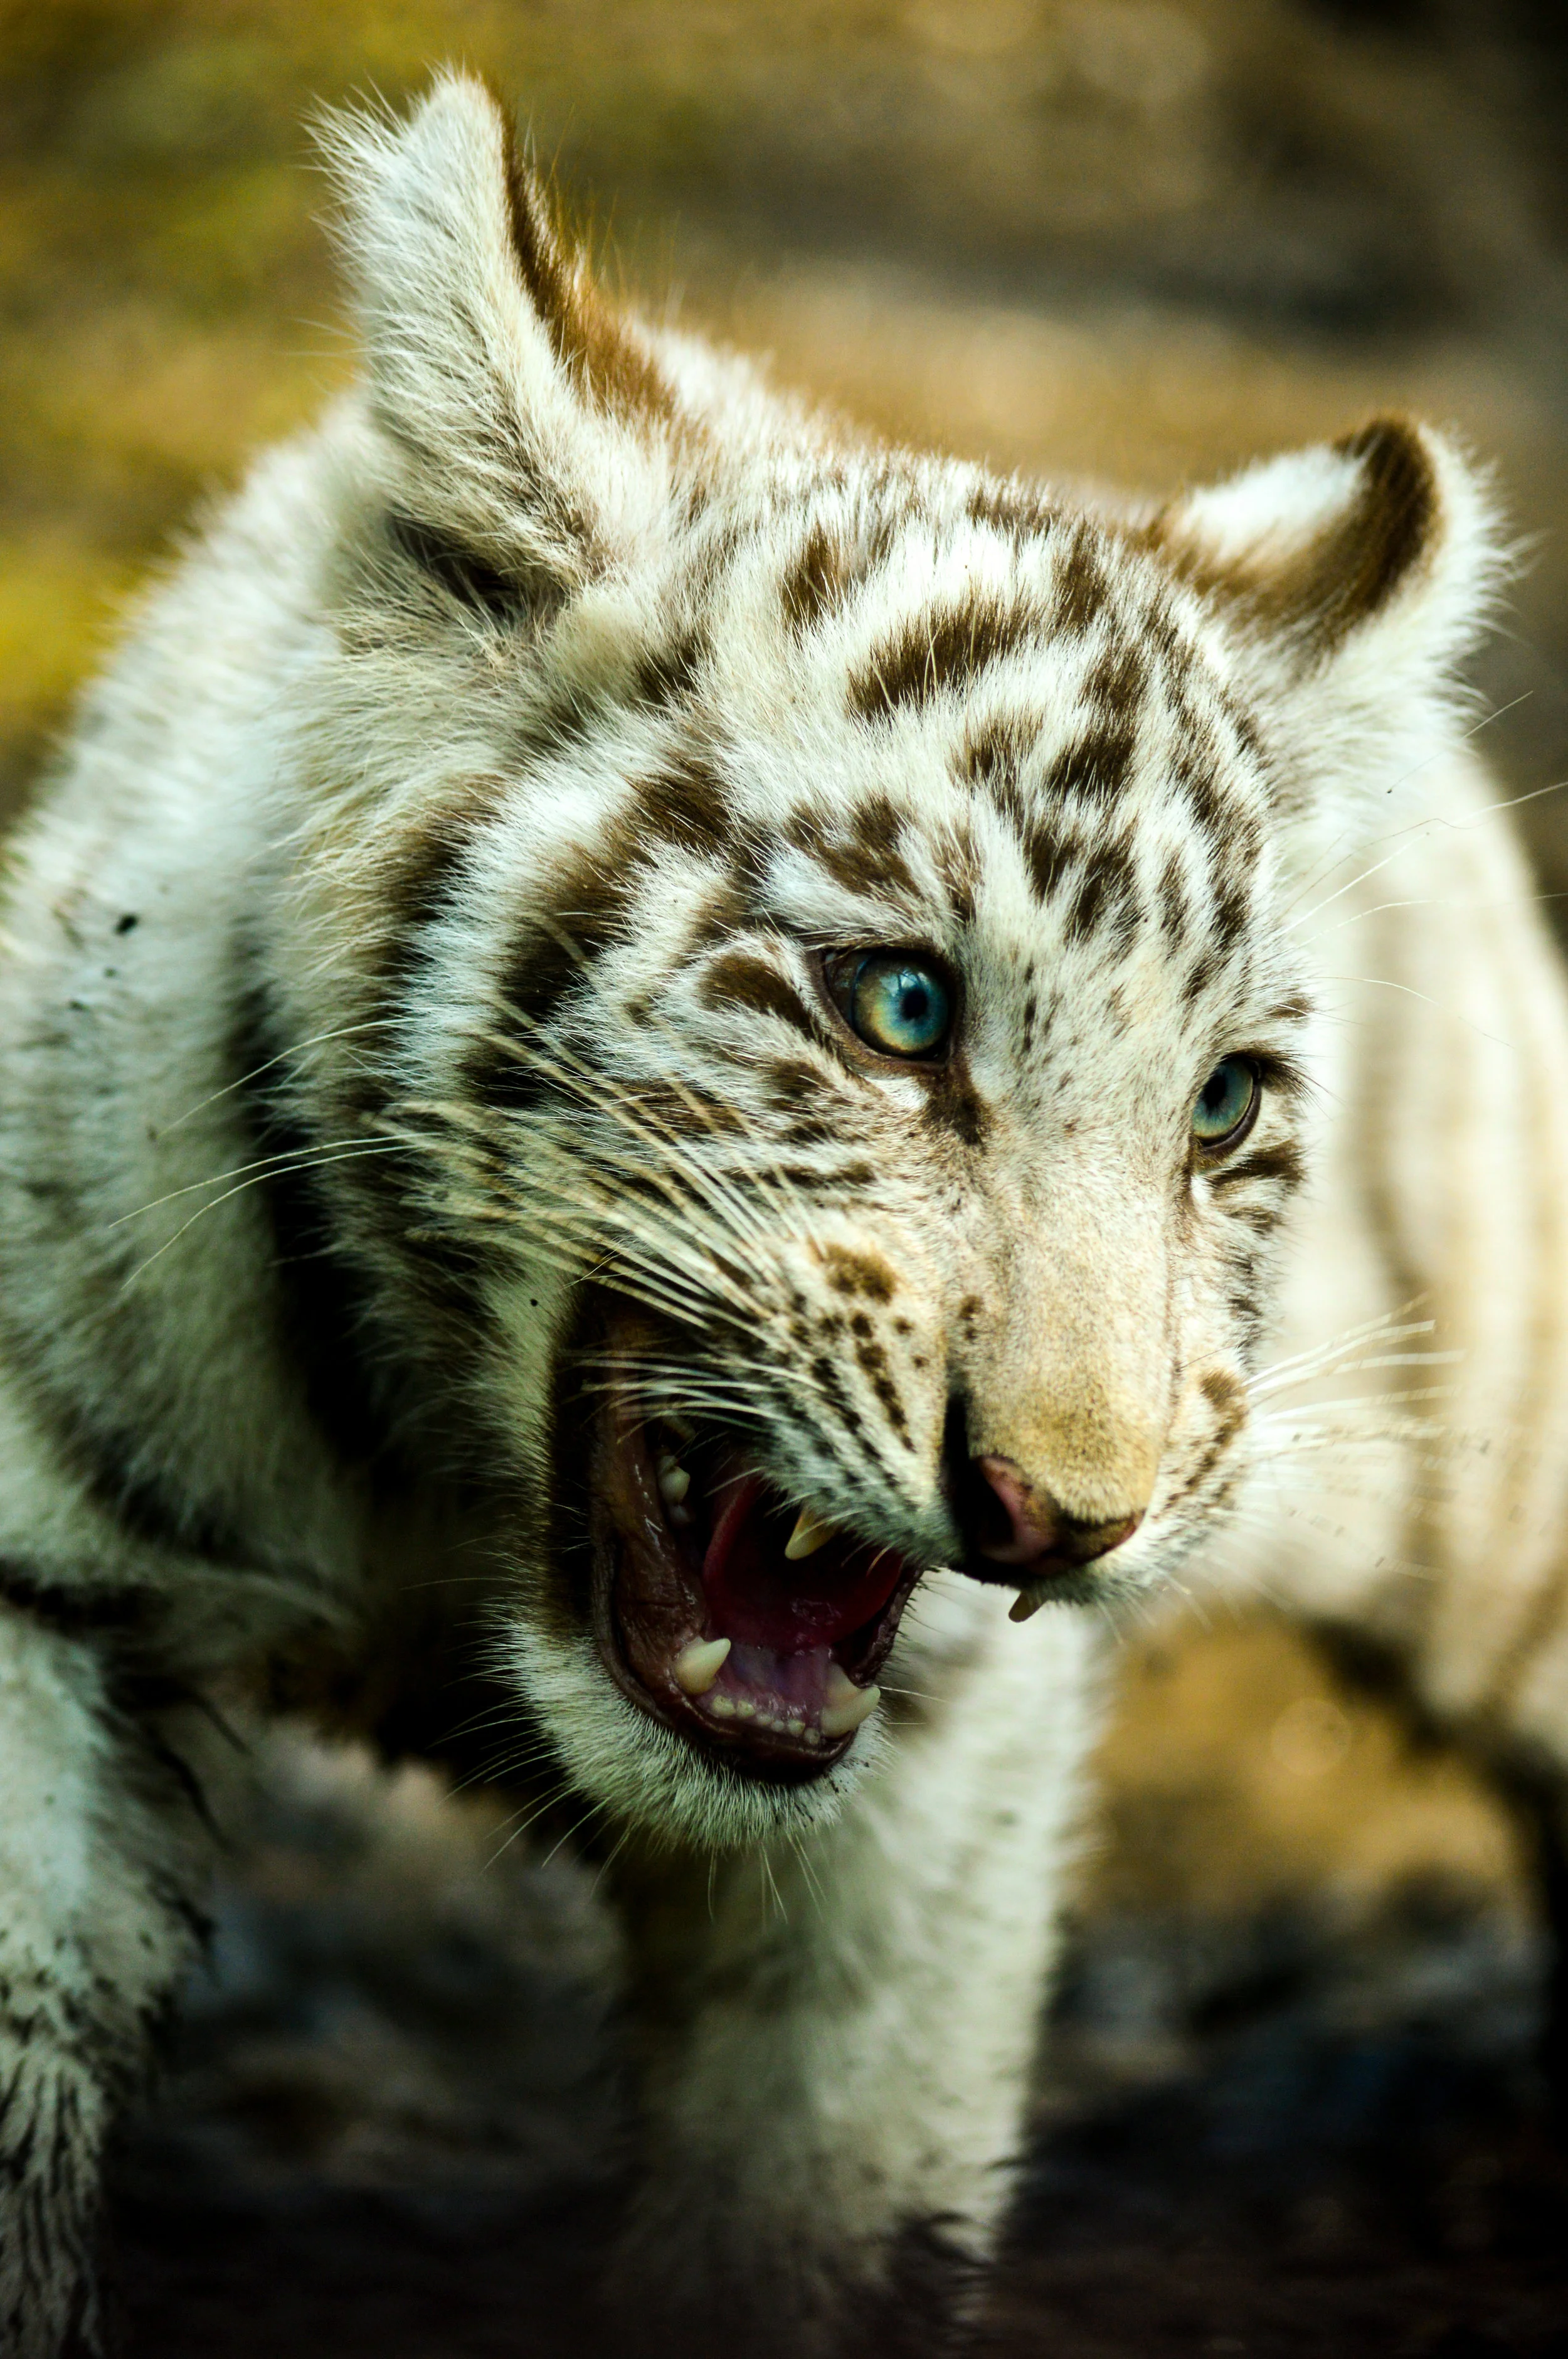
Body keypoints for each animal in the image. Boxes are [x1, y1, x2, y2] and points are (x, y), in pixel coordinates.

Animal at [3, 67, 1568, 2359]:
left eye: (1221, 1108)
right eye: (899, 1007)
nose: (1069, 1518)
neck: (446, 1507)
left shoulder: (929, 1800)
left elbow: (824, 2214)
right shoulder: (43, 1577)